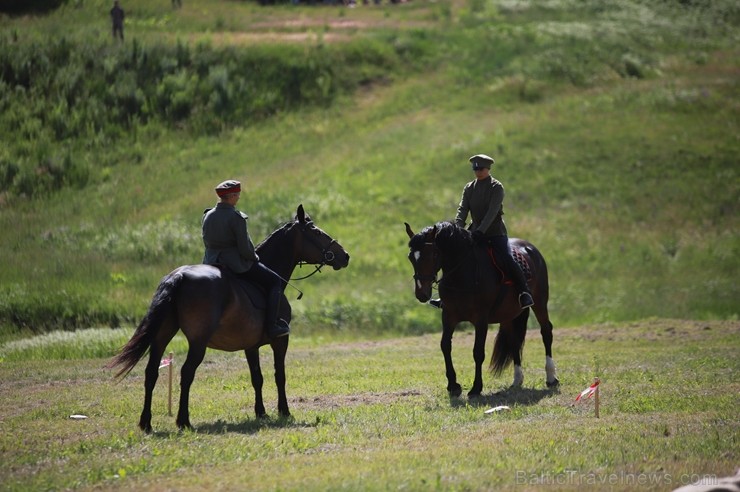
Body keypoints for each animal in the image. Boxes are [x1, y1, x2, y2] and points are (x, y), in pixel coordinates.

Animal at [109, 206, 350, 432]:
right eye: (316, 232)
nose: (345, 255)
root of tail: (178, 275)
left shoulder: (250, 346)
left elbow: (257, 377)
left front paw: (261, 412)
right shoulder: (280, 340)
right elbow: (279, 375)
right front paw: (284, 411)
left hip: (162, 336)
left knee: (151, 372)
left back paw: (146, 423)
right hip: (198, 342)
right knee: (186, 373)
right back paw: (183, 421)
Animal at [408, 221, 556, 398]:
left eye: (433, 254)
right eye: (411, 257)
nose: (421, 294)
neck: (462, 274)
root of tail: (530, 247)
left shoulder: (481, 320)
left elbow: (478, 352)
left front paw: (476, 388)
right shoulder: (449, 316)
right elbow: (445, 346)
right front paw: (453, 386)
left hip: (540, 302)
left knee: (546, 331)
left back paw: (551, 378)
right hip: (508, 314)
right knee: (514, 340)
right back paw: (517, 380)